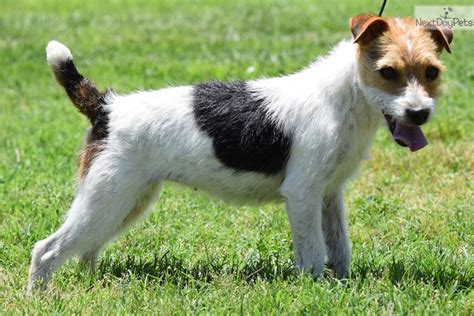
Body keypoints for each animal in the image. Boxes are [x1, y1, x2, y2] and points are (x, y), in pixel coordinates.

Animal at [27, 14, 454, 292]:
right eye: (387, 71)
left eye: (431, 71)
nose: (419, 113)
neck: (344, 96)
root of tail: (106, 107)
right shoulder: (302, 194)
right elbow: (312, 251)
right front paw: (315, 290)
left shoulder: (330, 194)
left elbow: (339, 247)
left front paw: (343, 284)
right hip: (109, 197)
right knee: (47, 251)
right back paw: (40, 298)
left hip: (126, 200)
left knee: (87, 247)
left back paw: (92, 284)